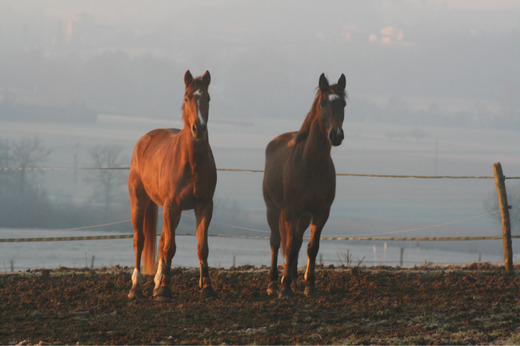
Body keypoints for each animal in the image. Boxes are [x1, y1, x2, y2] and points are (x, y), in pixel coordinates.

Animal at [128, 70, 217, 300]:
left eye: (207, 98)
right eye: (186, 98)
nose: (198, 128)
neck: (192, 162)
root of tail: (145, 140)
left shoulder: (204, 206)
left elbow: (202, 247)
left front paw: (207, 287)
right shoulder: (173, 207)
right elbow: (170, 248)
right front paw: (165, 289)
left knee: (160, 242)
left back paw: (155, 283)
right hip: (139, 202)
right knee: (139, 240)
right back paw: (136, 287)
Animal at [264, 73, 346, 298]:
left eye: (343, 103)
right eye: (323, 102)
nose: (336, 135)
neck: (312, 165)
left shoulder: (320, 212)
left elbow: (311, 247)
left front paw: (310, 286)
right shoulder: (291, 211)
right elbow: (289, 247)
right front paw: (284, 288)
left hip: (303, 217)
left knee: (298, 242)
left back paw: (294, 282)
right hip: (274, 209)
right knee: (276, 242)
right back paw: (274, 283)